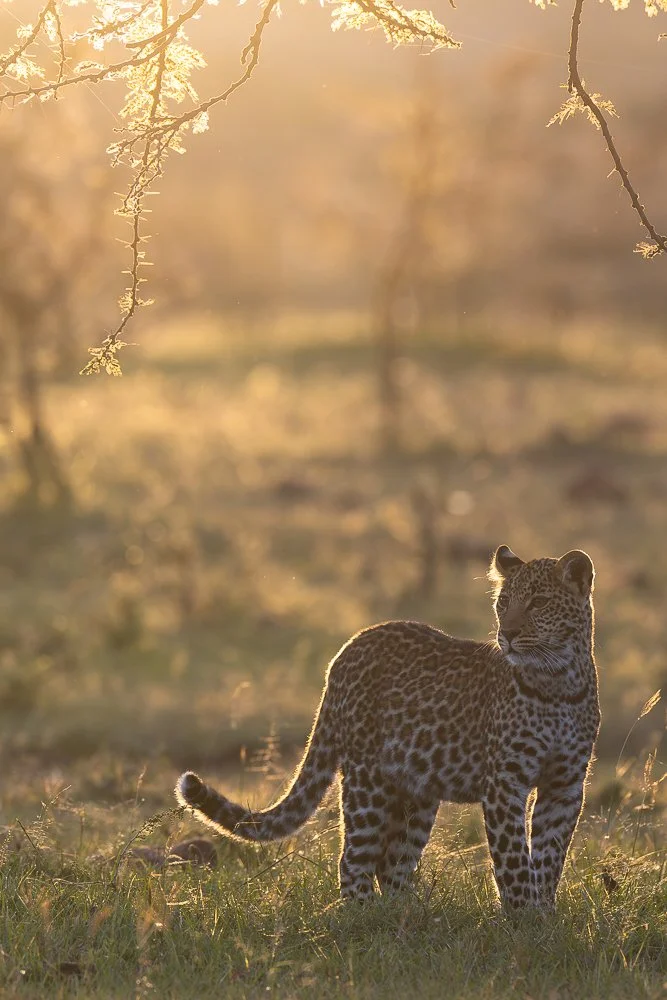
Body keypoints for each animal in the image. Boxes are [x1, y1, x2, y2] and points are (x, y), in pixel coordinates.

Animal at [176, 545, 600, 912]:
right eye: (503, 603)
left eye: (539, 603)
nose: (507, 635)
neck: (557, 681)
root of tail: (346, 650)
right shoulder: (504, 783)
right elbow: (512, 859)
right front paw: (522, 919)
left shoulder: (564, 785)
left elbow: (549, 857)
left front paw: (544, 916)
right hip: (367, 781)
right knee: (353, 860)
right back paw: (366, 917)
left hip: (417, 791)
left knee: (393, 863)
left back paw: (407, 914)